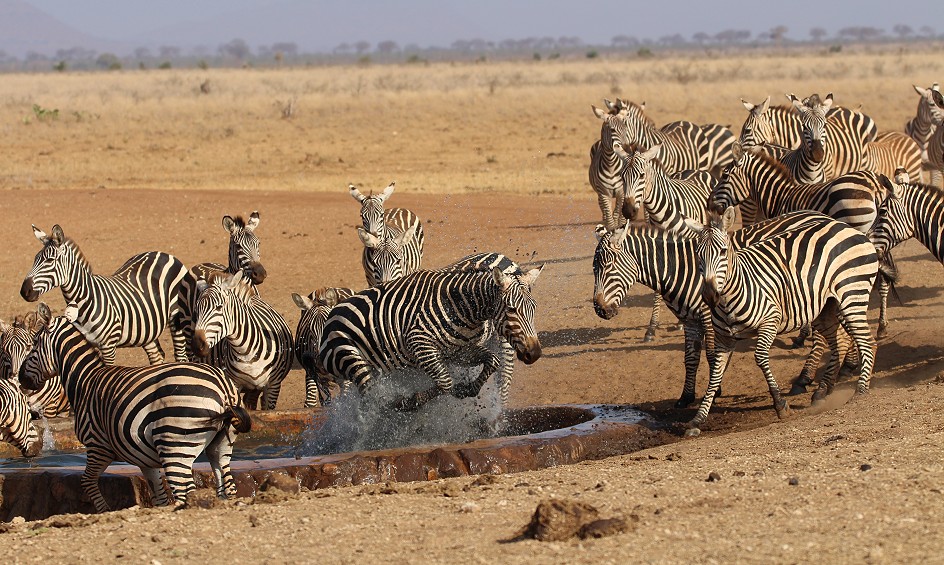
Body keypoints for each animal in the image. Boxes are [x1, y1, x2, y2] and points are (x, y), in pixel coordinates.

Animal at [20, 304, 253, 512]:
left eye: (33, 345)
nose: (21, 379)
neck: (85, 380)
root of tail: (223, 388)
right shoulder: (145, 460)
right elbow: (159, 497)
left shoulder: (97, 446)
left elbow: (87, 481)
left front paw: (104, 511)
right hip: (221, 445)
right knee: (225, 483)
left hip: (175, 445)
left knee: (185, 490)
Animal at [22, 223, 191, 364]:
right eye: (35, 259)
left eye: (50, 260)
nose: (24, 291)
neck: (85, 300)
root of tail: (164, 253)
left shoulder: (108, 345)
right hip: (146, 328)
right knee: (156, 356)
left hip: (176, 318)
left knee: (181, 356)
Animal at [191, 270, 292, 408]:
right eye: (197, 310)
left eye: (219, 307)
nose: (197, 345)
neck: (246, 351)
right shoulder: (233, 383)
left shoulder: (273, 385)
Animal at [318, 266, 544, 412]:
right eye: (511, 309)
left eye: (534, 308)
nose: (534, 353)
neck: (459, 307)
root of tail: (331, 314)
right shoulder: (419, 343)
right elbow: (445, 381)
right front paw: (413, 401)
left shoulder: (458, 352)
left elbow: (493, 360)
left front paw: (467, 389)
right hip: (350, 356)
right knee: (372, 398)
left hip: (373, 364)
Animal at [684, 209, 880, 430]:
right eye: (698, 255)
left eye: (723, 252)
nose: (710, 296)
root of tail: (847, 227)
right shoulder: (724, 338)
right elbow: (715, 374)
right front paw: (698, 419)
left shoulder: (770, 321)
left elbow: (760, 358)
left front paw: (780, 405)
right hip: (827, 307)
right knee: (841, 341)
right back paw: (822, 391)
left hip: (852, 295)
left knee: (867, 342)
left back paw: (860, 390)